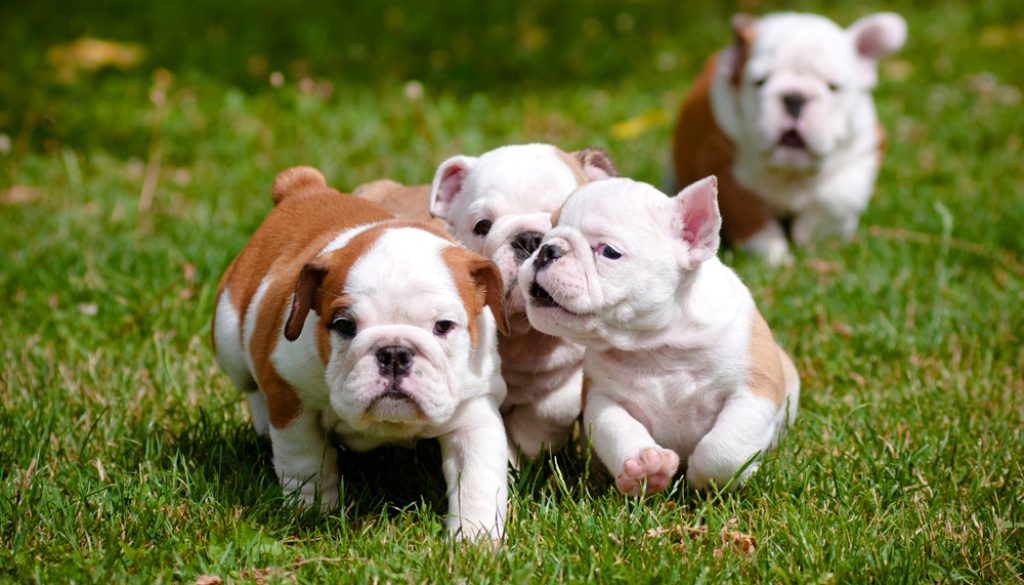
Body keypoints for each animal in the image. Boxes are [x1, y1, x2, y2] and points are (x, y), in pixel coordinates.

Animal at [211, 165, 507, 540]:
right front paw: (312, 510)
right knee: (251, 384)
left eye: (443, 326)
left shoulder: (474, 410)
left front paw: (475, 537)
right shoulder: (292, 397)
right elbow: (305, 460)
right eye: (344, 325)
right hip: (229, 339)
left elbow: (476, 479)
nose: (394, 353)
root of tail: (303, 189)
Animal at [520, 177, 798, 493]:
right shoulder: (602, 398)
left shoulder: (754, 389)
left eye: (609, 251)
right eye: (547, 233)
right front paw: (645, 467)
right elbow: (618, 429)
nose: (546, 250)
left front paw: (708, 478)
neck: (656, 345)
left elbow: (724, 448)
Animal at [671, 12, 905, 264]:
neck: (791, 171)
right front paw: (774, 255)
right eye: (760, 82)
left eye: (833, 87)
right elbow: (748, 213)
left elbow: (837, 196)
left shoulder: (865, 147)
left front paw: (814, 236)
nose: (794, 98)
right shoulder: (721, 162)